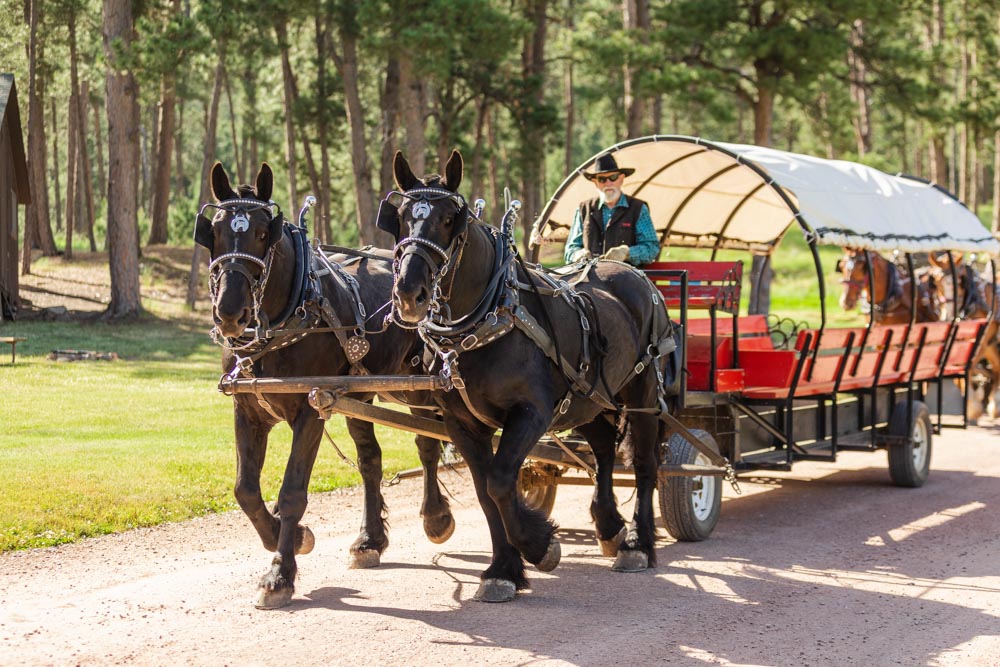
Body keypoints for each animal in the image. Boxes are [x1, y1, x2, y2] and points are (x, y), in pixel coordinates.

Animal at [195, 163, 454, 612]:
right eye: (215, 230)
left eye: (262, 232)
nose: (229, 312)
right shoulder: (248, 410)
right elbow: (245, 490)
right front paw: (290, 535)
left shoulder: (310, 410)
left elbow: (293, 491)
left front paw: (279, 575)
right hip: (361, 394)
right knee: (370, 459)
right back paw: (370, 540)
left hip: (418, 386)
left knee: (427, 442)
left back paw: (436, 516)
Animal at [386, 151, 676, 604]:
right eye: (399, 216)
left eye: (451, 218)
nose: (408, 293)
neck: (484, 321)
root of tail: (627, 269)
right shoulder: (462, 423)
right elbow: (486, 491)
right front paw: (502, 570)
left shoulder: (532, 412)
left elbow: (501, 480)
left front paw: (539, 546)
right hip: (589, 397)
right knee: (604, 452)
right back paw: (609, 525)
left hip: (643, 391)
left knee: (645, 463)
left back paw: (638, 544)